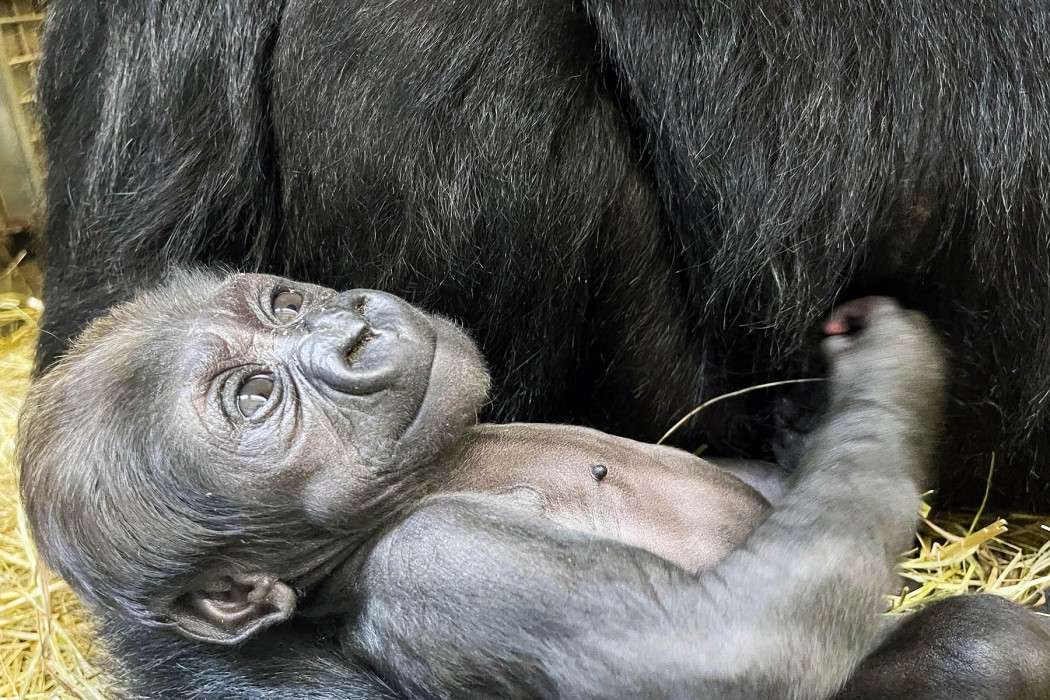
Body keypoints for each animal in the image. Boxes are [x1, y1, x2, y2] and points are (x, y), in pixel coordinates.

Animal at [16, 270, 1050, 700]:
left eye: (285, 303)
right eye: (258, 398)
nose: (352, 328)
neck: (451, 462)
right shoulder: (438, 560)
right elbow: (723, 644)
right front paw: (890, 375)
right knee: (976, 647)